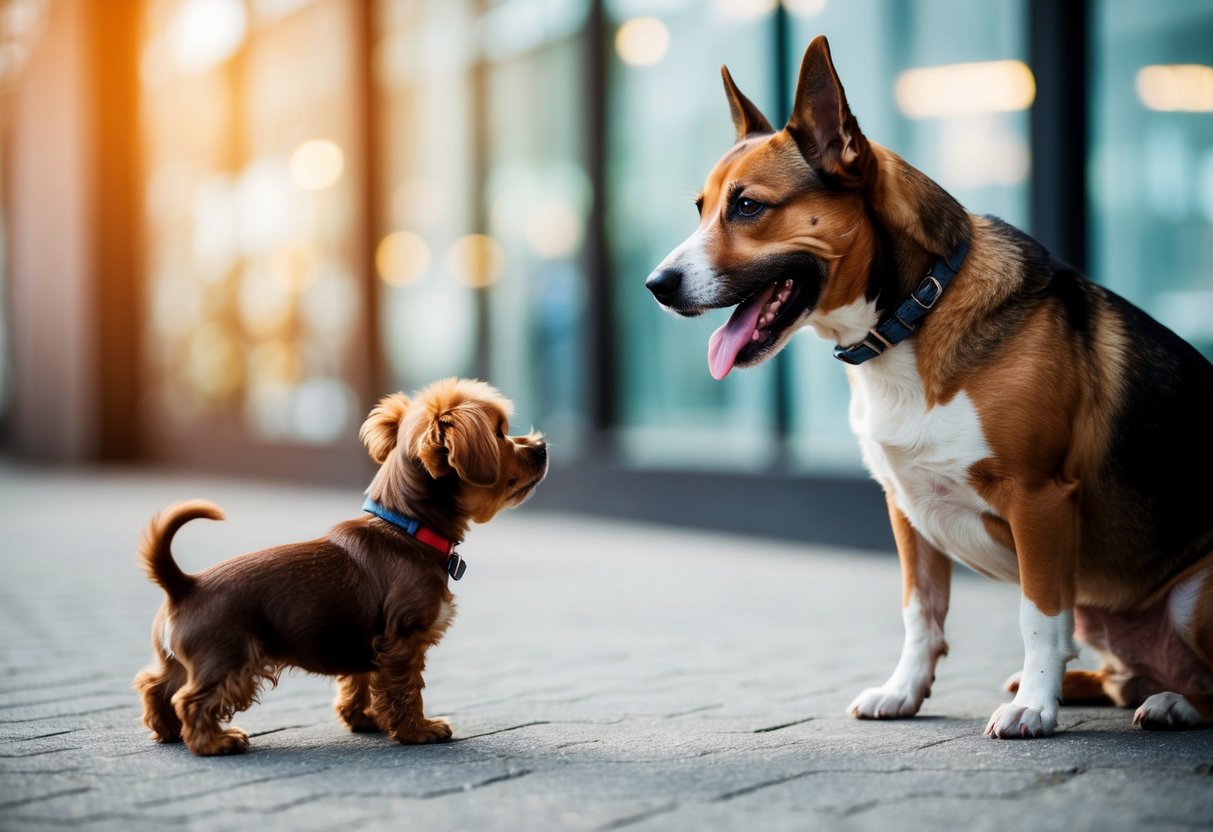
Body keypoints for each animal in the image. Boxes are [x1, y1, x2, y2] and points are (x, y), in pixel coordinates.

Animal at [135, 378, 548, 756]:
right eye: (500, 434)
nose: (542, 446)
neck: (406, 527)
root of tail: (184, 584)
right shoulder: (403, 639)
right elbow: (406, 689)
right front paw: (418, 731)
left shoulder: (370, 642)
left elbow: (360, 681)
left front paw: (363, 719)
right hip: (230, 660)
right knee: (190, 700)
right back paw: (216, 742)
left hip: (181, 661)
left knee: (155, 686)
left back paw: (168, 732)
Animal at [650, 35, 1213, 742]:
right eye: (701, 209)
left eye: (747, 206)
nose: (656, 285)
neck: (912, 317)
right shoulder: (907, 506)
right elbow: (922, 614)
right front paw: (905, 692)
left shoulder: (1042, 502)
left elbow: (1038, 616)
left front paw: (1035, 707)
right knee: (1121, 676)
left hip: (1193, 597)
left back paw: (1168, 703)